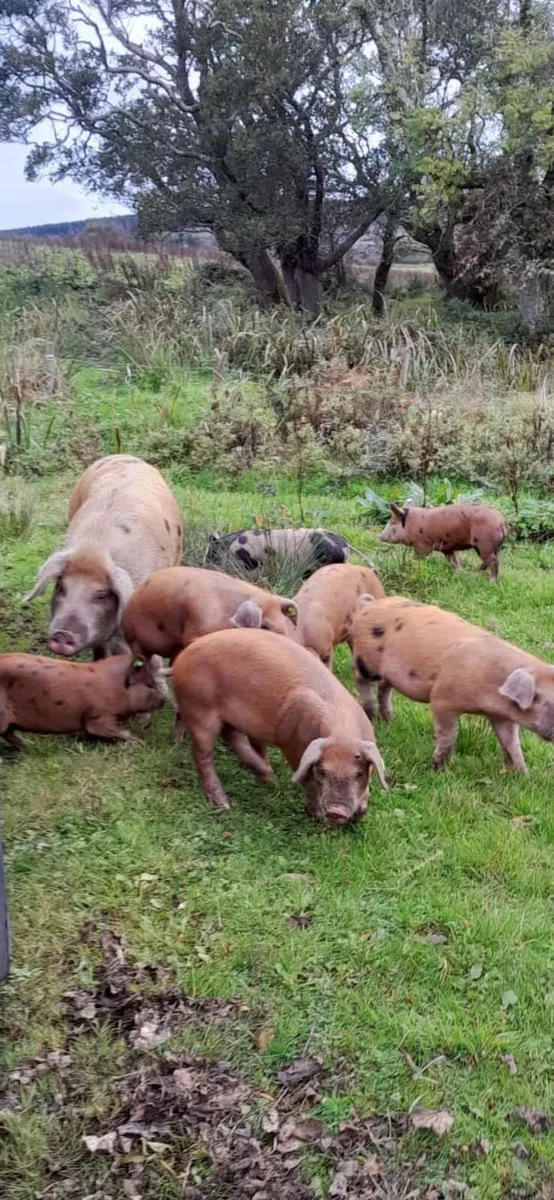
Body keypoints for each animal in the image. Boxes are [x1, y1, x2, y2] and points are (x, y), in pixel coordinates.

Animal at [0, 653, 164, 748]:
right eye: (150, 684)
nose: (163, 700)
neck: (116, 689)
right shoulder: (98, 716)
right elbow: (113, 730)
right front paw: (141, 744)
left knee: (9, 734)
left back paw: (29, 745)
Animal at [171, 627, 387, 823]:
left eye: (359, 773)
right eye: (323, 772)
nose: (337, 812)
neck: (342, 729)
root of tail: (183, 655)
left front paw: (360, 813)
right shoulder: (292, 744)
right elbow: (307, 780)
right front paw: (316, 815)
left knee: (232, 737)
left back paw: (269, 778)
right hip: (199, 708)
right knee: (202, 754)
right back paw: (224, 803)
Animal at [351, 594, 554, 773]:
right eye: (546, 703)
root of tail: (369, 604)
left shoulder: (501, 716)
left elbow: (512, 744)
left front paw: (523, 774)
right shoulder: (442, 700)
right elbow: (449, 735)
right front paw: (438, 769)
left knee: (384, 687)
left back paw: (388, 719)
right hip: (364, 659)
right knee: (360, 679)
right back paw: (370, 714)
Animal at [378, 501, 508, 581]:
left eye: (393, 522)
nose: (379, 536)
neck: (411, 524)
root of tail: (502, 521)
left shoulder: (422, 545)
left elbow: (419, 559)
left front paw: (413, 566)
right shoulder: (447, 548)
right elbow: (454, 561)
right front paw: (460, 574)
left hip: (484, 544)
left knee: (494, 561)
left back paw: (491, 582)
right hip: (491, 547)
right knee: (491, 560)